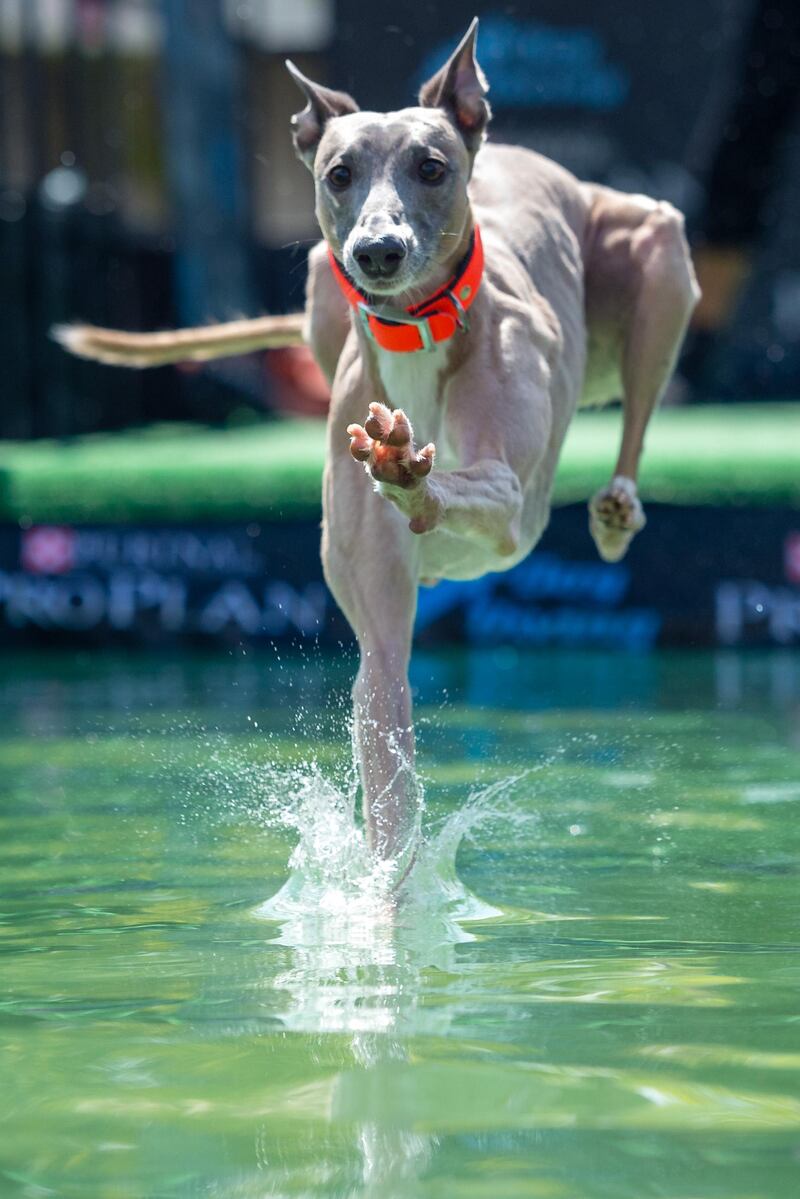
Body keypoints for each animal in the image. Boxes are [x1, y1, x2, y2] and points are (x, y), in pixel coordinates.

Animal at [59, 18, 700, 877]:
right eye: (339, 173)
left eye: (431, 167)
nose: (378, 252)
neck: (416, 329)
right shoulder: (379, 635)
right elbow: (386, 728)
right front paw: (376, 901)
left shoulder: (513, 512)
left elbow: (478, 486)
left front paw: (409, 474)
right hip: (318, 290)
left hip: (655, 249)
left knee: (635, 411)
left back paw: (615, 511)